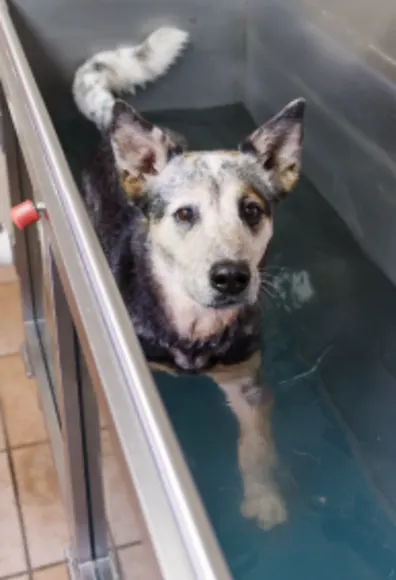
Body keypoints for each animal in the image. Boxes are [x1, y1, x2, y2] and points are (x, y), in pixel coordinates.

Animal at [72, 26, 304, 532]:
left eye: (251, 210)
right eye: (184, 214)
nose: (231, 277)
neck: (194, 330)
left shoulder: (247, 381)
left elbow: (257, 447)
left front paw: (263, 498)